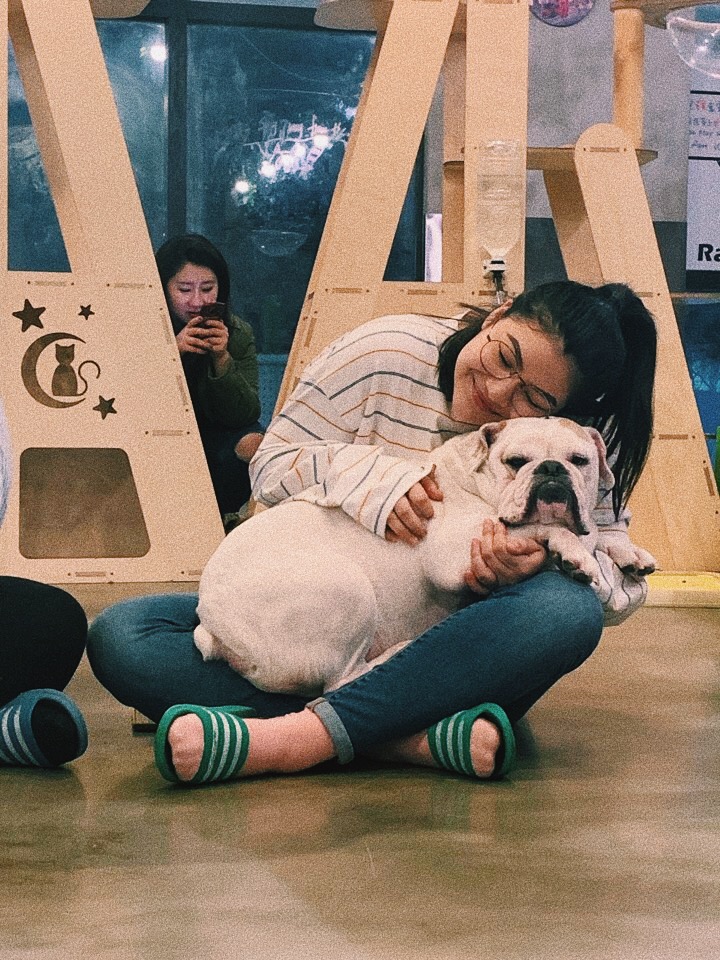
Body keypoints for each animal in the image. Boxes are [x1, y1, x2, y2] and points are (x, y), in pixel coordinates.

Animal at [194, 417, 655, 697]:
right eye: (516, 462)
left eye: (581, 461)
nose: (553, 469)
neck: (478, 482)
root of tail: (213, 625)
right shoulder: (455, 553)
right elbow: (540, 528)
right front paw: (575, 553)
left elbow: (598, 536)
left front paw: (629, 552)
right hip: (350, 591)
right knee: (339, 682)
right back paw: (397, 651)